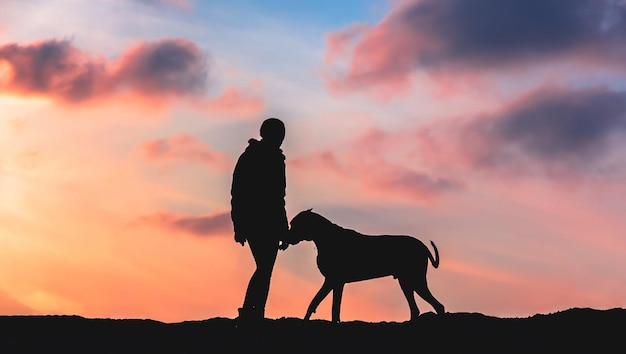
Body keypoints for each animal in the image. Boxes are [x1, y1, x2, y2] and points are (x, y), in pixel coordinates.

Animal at [288, 210, 444, 324]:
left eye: (294, 224)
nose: (286, 237)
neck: (326, 238)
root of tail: (422, 245)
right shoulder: (335, 282)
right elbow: (324, 305)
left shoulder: (333, 281)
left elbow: (325, 305)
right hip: (406, 282)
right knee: (416, 309)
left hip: (415, 280)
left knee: (438, 306)